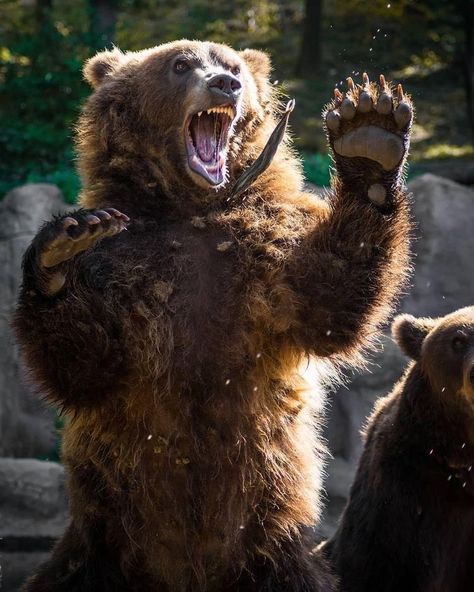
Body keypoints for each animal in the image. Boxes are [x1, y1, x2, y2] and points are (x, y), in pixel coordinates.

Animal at [14, 41, 412, 592]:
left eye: (233, 64)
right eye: (180, 65)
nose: (226, 84)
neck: (192, 209)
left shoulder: (269, 253)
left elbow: (328, 303)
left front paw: (369, 136)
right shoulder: (121, 263)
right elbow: (85, 366)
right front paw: (62, 246)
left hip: (271, 541)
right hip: (102, 542)